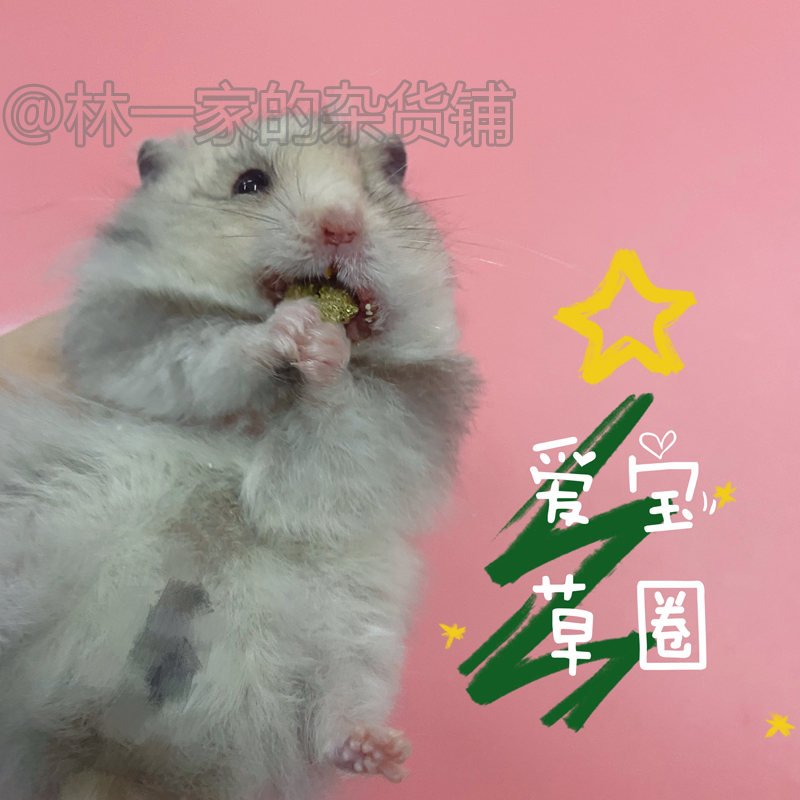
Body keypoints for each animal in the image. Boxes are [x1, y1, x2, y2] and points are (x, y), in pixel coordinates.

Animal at [0, 113, 479, 800]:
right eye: (249, 182)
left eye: (376, 187)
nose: (342, 223)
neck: (280, 392)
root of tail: (124, 759)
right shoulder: (129, 334)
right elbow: (213, 344)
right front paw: (288, 329)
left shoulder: (405, 424)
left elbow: (345, 417)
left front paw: (328, 350)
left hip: (361, 620)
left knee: (336, 710)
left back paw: (378, 749)